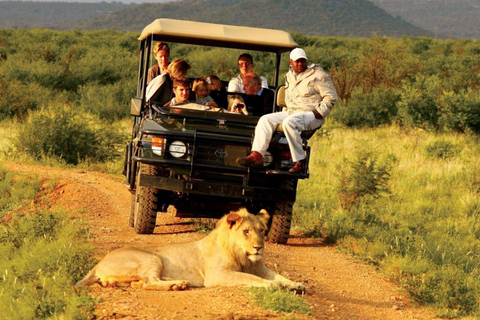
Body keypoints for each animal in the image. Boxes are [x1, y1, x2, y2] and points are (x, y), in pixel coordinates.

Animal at [77, 208, 306, 292]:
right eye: (246, 231)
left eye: (262, 231)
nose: (259, 247)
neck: (244, 257)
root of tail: (98, 263)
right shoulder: (217, 275)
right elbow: (251, 279)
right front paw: (274, 285)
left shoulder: (261, 268)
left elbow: (280, 276)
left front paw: (296, 284)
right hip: (152, 258)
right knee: (149, 281)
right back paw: (177, 285)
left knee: (140, 284)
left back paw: (178, 284)